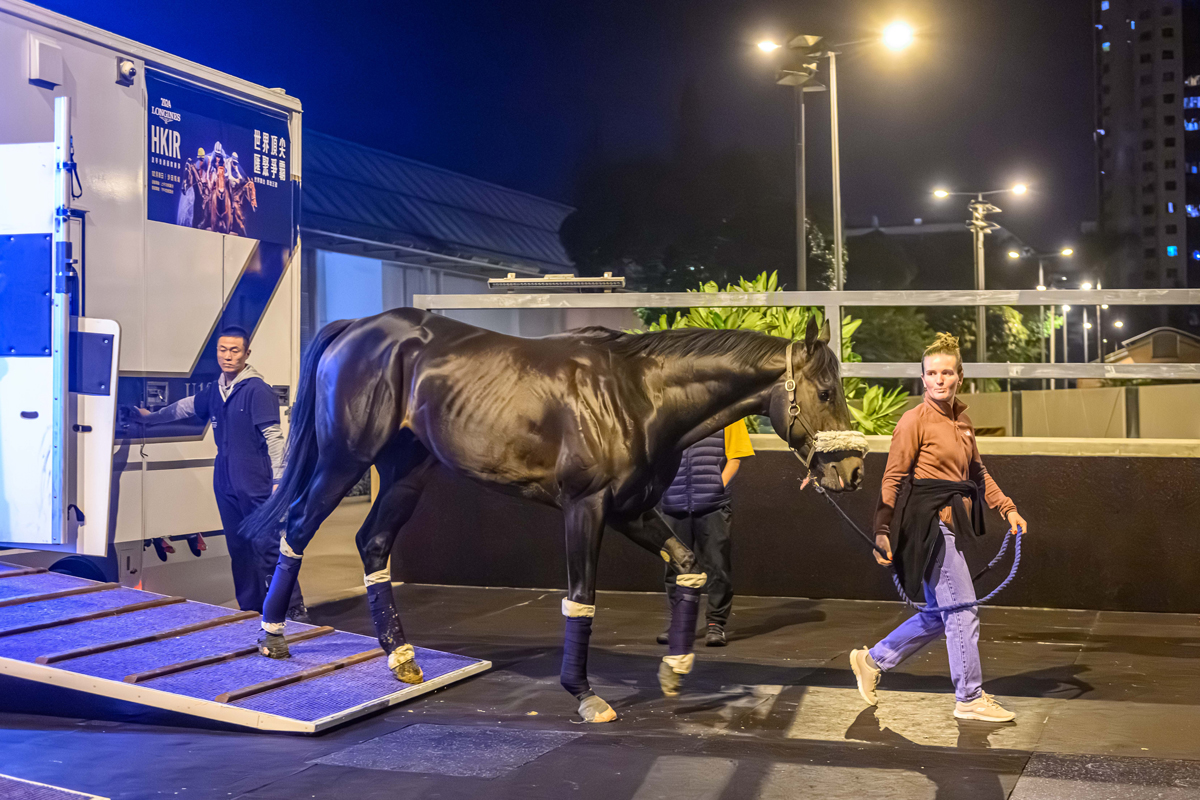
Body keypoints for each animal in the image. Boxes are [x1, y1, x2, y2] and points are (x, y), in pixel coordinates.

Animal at [243, 309, 864, 724]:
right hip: (344, 457)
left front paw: (674, 670)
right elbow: (581, 599)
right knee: (296, 526)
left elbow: (690, 566)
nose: (855, 471)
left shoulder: (631, 510)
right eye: (826, 392)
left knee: (373, 542)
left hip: (407, 470)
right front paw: (583, 693)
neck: (639, 395)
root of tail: (357, 327)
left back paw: (401, 656)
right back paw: (273, 635)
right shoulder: (585, 508)